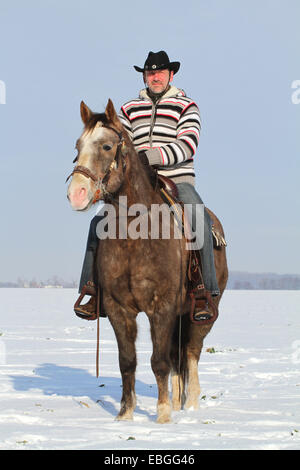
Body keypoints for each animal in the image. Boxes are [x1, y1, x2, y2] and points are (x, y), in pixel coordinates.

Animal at [67, 98, 229, 422]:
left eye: (106, 146)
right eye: (78, 145)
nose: (76, 193)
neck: (135, 233)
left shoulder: (162, 307)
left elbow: (159, 361)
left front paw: (163, 416)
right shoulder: (118, 308)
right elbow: (128, 361)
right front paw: (125, 415)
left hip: (202, 313)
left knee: (191, 353)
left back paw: (190, 406)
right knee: (178, 358)